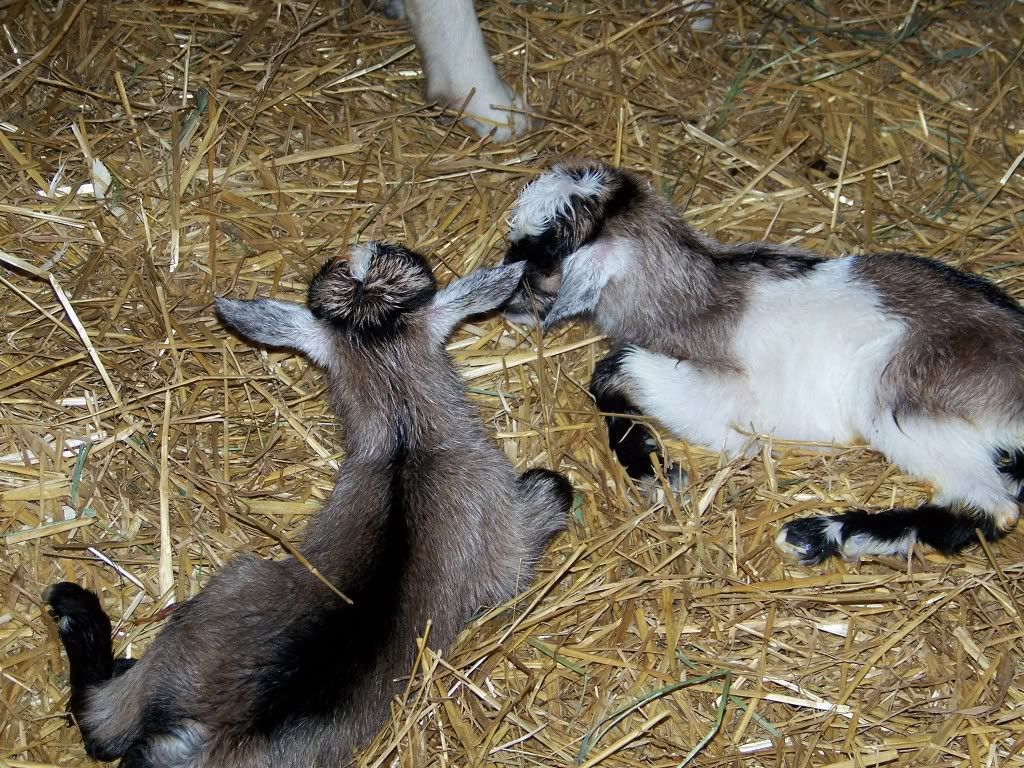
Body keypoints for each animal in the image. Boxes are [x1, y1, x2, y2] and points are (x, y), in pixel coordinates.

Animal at [44, 242, 572, 767]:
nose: (366, 246)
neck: (405, 437)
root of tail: (209, 736)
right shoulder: (499, 528)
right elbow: (542, 514)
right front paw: (549, 488)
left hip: (210, 611)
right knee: (99, 722)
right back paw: (76, 611)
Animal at [499, 159, 1024, 564]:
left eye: (542, 254)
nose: (503, 299)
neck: (692, 291)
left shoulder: (732, 402)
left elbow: (613, 368)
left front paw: (658, 471)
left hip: (897, 394)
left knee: (992, 508)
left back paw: (819, 532)